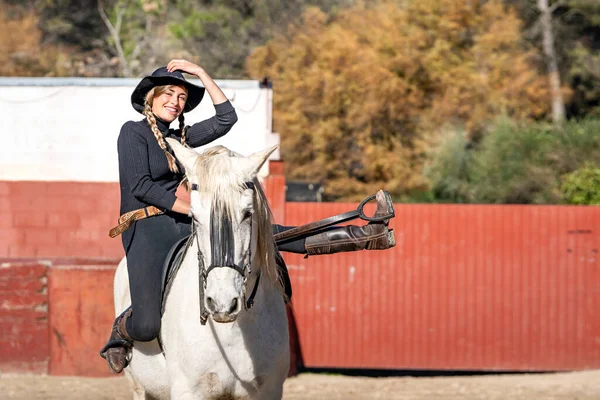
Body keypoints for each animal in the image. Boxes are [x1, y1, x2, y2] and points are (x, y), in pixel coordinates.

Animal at [114, 140, 290, 396]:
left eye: (248, 214)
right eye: (195, 217)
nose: (221, 304)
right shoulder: (189, 390)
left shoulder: (269, 390)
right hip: (139, 386)